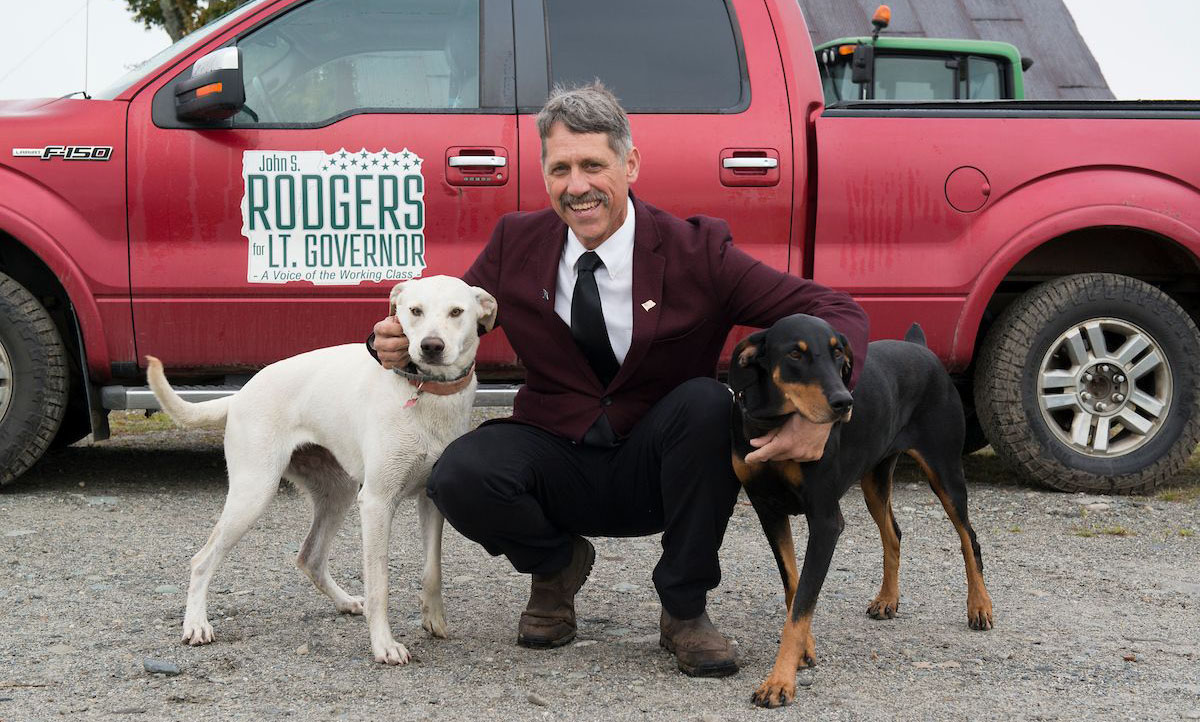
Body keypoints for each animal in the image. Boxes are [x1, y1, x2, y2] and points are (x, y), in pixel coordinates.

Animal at [146, 274, 496, 662]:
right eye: (415, 311)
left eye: (456, 312)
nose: (431, 346)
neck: (427, 392)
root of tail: (240, 395)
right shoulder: (376, 503)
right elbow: (379, 584)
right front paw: (384, 645)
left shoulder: (431, 501)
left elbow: (432, 569)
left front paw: (433, 619)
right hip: (253, 493)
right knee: (202, 560)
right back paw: (196, 624)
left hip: (337, 493)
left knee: (309, 557)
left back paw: (345, 602)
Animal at [729, 311, 993, 705]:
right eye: (795, 353)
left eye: (838, 353)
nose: (844, 402)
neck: (777, 423)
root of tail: (920, 348)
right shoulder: (768, 510)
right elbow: (794, 587)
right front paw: (804, 651)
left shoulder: (825, 520)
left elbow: (803, 603)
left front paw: (779, 683)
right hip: (875, 477)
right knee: (894, 533)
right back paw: (887, 600)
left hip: (945, 470)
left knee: (968, 537)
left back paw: (979, 606)